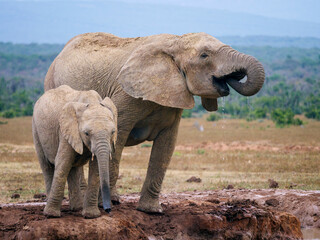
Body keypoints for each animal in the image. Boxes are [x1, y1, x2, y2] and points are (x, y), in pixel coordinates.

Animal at [32, 84, 117, 218]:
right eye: (86, 133)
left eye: (113, 132)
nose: (108, 210)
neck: (91, 101)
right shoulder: (66, 130)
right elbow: (62, 163)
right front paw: (51, 215)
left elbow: (95, 168)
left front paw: (91, 215)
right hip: (36, 129)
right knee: (47, 166)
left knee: (73, 167)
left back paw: (77, 208)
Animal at [45, 32, 264, 214]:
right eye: (204, 55)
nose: (233, 78)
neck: (176, 41)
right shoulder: (124, 95)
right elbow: (117, 140)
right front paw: (106, 205)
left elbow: (166, 147)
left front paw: (151, 210)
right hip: (51, 84)